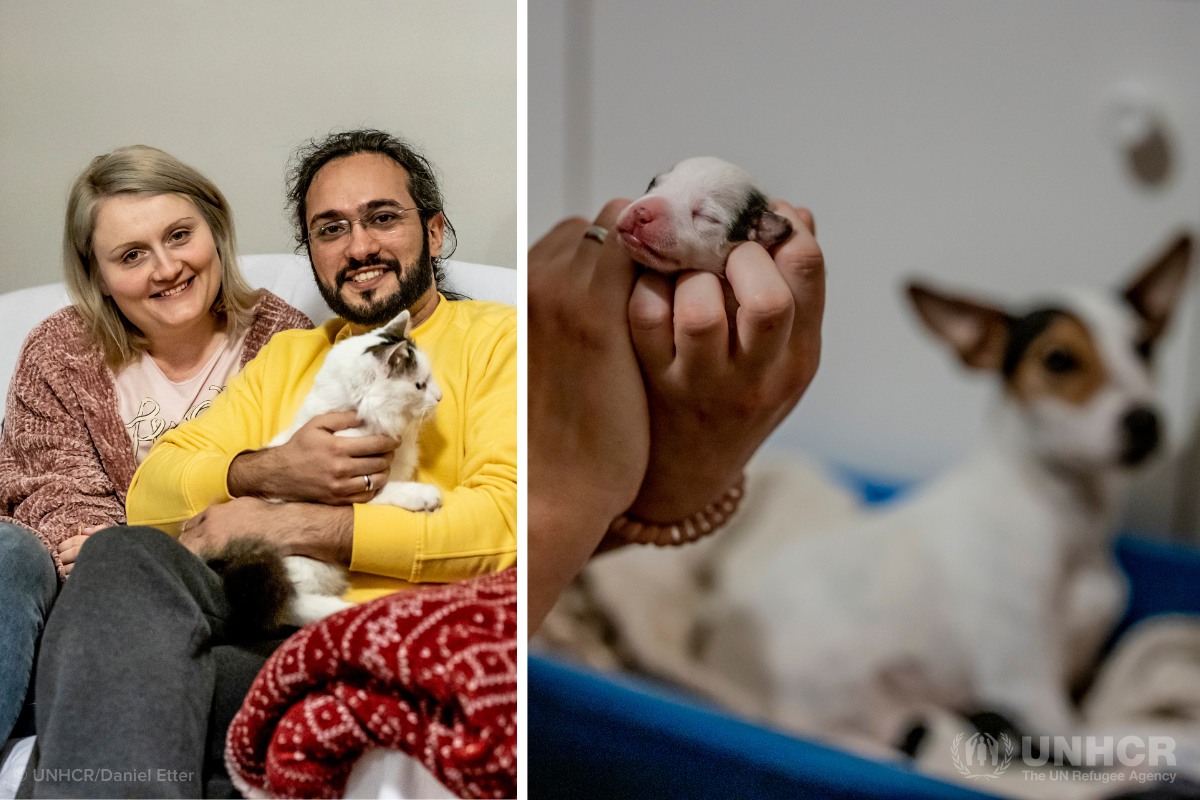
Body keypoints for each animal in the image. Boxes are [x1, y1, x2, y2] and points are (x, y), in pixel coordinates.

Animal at [204, 309, 444, 628]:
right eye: (419, 385)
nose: (440, 397)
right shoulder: (345, 487)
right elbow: (389, 489)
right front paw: (424, 496)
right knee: (296, 607)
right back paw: (348, 611)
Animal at [720, 230, 1190, 753]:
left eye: (1145, 348)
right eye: (1059, 360)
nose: (1146, 421)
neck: (1060, 513)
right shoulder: (1037, 701)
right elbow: (1137, 733)